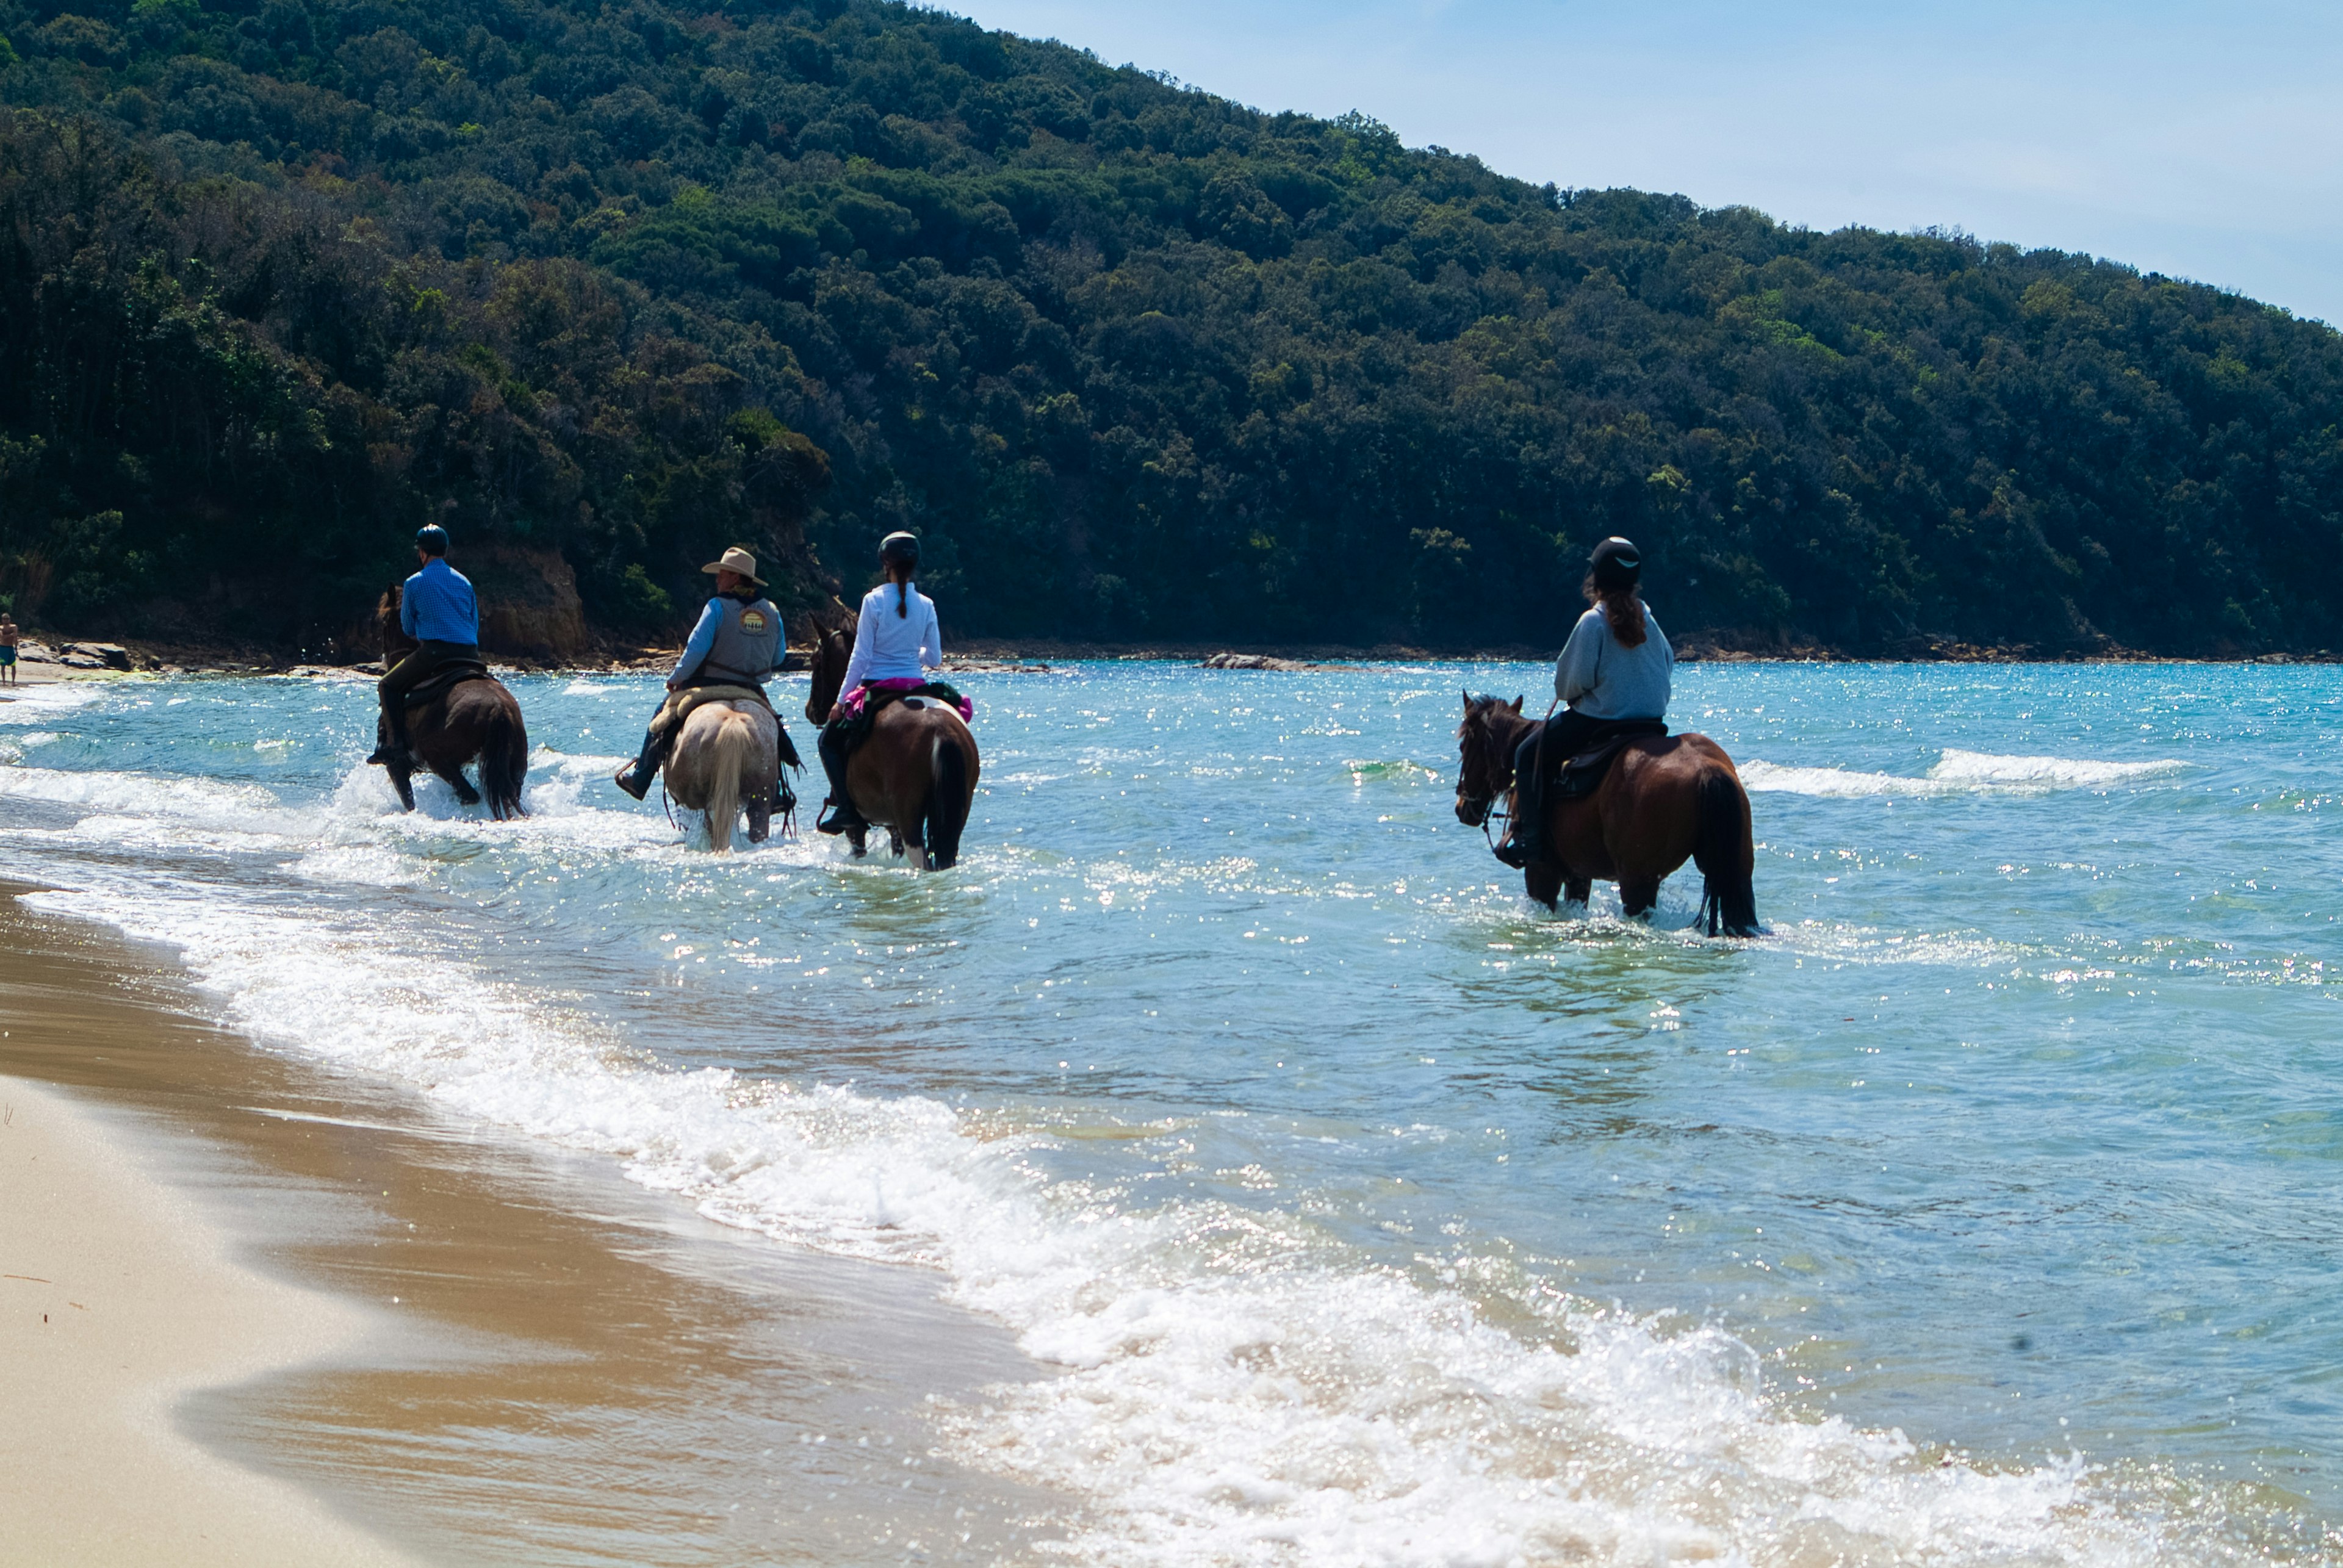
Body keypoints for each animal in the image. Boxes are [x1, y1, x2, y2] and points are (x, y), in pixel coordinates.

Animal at [801, 609, 974, 867]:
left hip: (909, 817)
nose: (810, 709)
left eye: (815, 661)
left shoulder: (856, 828)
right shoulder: (892, 824)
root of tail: (940, 730)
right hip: (955, 815)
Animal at [1443, 694, 1762, 937]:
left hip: (1637, 883)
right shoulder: (1578, 874)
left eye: (1463, 745)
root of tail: (1706, 769)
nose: (1463, 807)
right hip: (1737, 871)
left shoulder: (1542, 870)